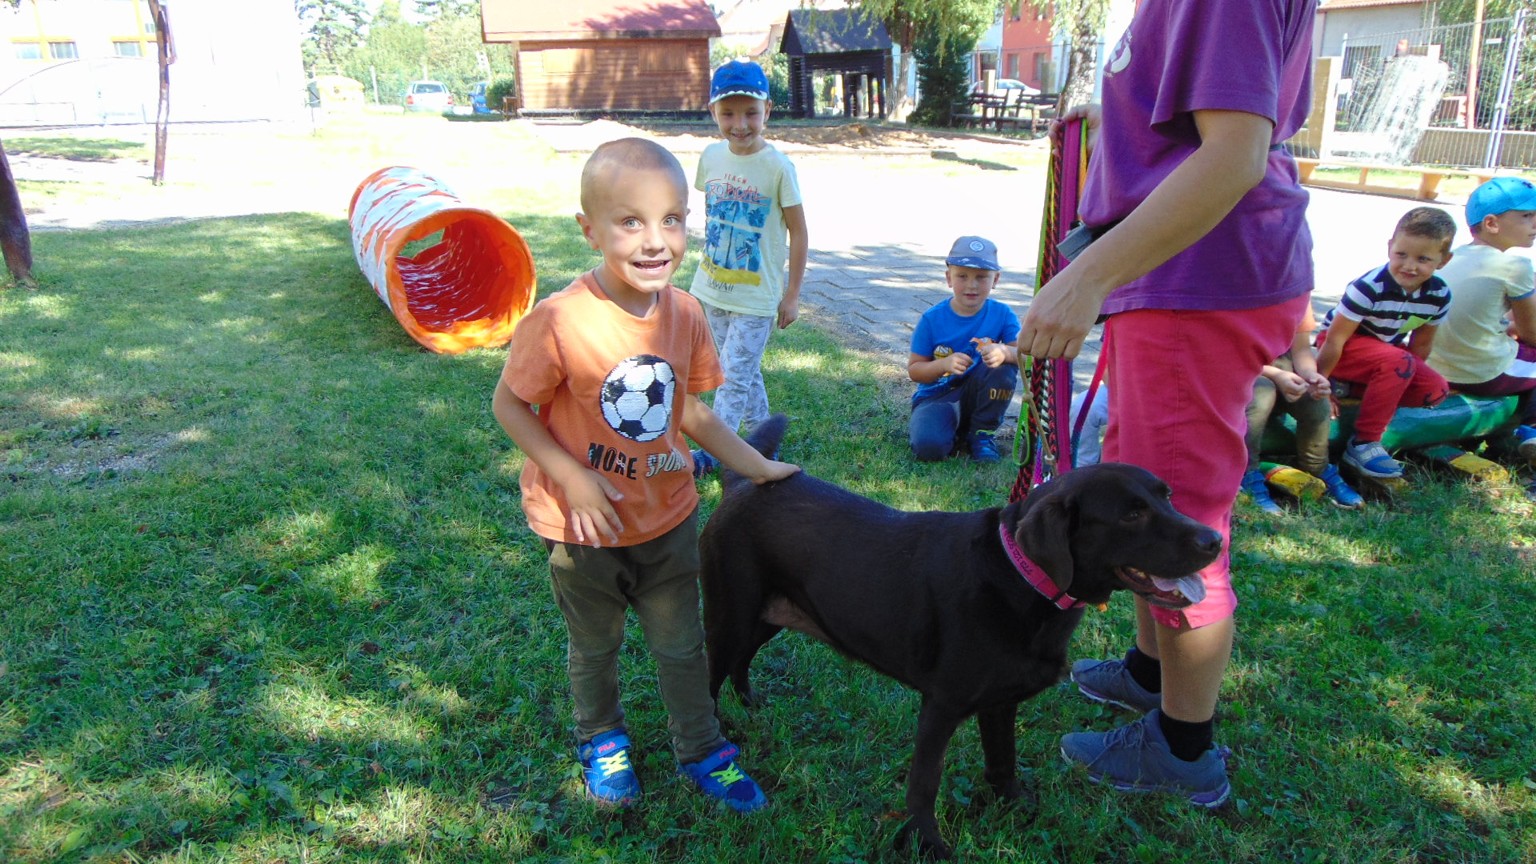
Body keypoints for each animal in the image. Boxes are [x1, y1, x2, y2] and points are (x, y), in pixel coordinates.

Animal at [699, 415, 1221, 860]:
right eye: (1131, 515)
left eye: (1167, 496)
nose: (1213, 540)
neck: (1022, 580)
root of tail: (741, 484)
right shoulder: (942, 705)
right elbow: (924, 782)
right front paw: (925, 843)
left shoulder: (1000, 704)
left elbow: (1003, 761)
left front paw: (1016, 807)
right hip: (729, 618)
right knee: (708, 681)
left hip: (765, 617)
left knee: (742, 663)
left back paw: (752, 706)